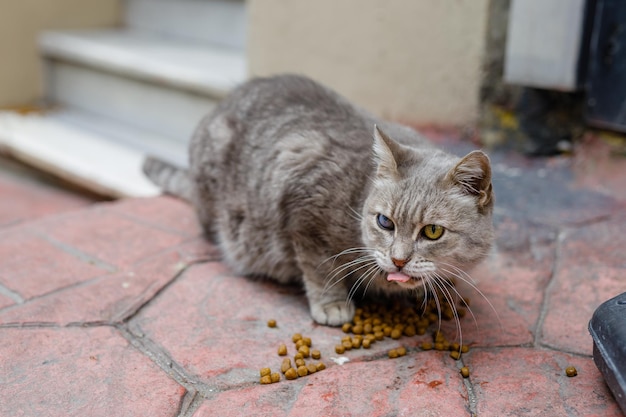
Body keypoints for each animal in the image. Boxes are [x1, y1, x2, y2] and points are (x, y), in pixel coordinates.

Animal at [143, 75, 492, 328]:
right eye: (384, 222)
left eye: (433, 232)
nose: (398, 260)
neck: (358, 193)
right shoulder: (305, 212)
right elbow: (321, 267)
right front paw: (333, 304)